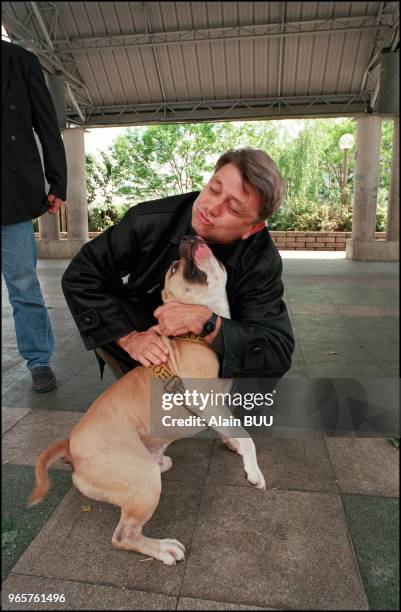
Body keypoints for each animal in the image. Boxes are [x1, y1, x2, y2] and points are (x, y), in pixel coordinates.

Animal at [29, 233, 264, 564]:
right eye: (174, 268)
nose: (188, 236)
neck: (195, 336)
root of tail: (69, 445)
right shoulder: (206, 402)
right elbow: (247, 438)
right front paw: (253, 471)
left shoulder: (219, 405)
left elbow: (234, 431)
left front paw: (233, 445)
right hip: (144, 480)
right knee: (123, 536)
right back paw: (162, 548)